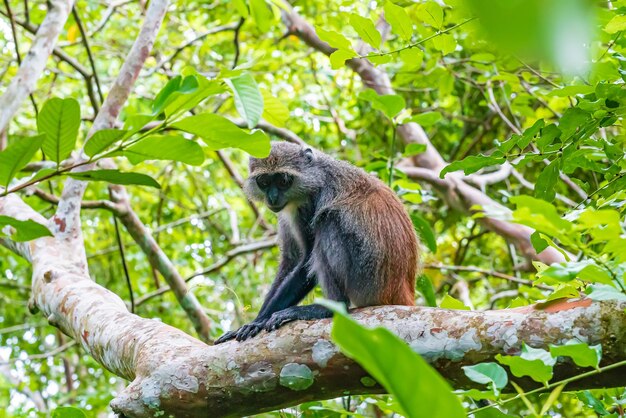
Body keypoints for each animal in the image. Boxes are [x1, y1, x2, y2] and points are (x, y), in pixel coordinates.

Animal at [214, 142, 420, 344]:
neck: (314, 176)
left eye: (283, 180)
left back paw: (332, 308)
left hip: (369, 280)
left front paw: (257, 322)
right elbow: (291, 260)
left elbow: (306, 262)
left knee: (329, 222)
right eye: (264, 182)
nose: (272, 198)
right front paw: (257, 319)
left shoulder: (311, 203)